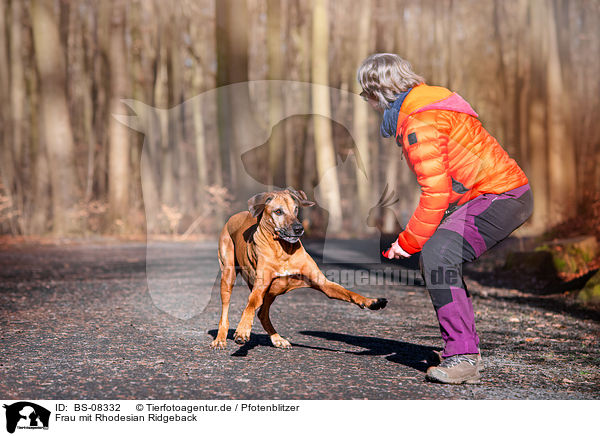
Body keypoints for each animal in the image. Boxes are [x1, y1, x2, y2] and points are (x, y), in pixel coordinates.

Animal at [211, 186, 390, 350]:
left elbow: (350, 293)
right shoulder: (260, 286)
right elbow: (249, 306)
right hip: (228, 275)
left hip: (271, 292)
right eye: (278, 211)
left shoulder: (323, 283)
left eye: (296, 209)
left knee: (262, 313)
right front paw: (242, 331)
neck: (283, 250)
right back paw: (220, 338)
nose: (299, 228)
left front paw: (371, 301)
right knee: (226, 311)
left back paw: (277, 339)